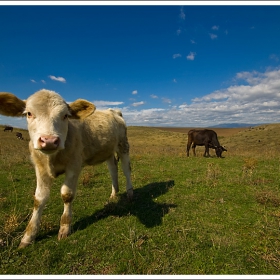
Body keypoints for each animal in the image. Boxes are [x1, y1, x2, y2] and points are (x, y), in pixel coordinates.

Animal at [0, 89, 134, 247]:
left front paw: (64, 228)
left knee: (126, 169)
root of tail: (113, 110)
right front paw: (28, 236)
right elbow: (39, 199)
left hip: (123, 145)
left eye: (65, 115)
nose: (49, 141)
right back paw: (114, 194)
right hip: (107, 150)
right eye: (29, 113)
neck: (52, 158)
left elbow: (67, 194)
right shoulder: (40, 168)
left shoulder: (74, 165)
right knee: (113, 169)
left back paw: (130, 193)